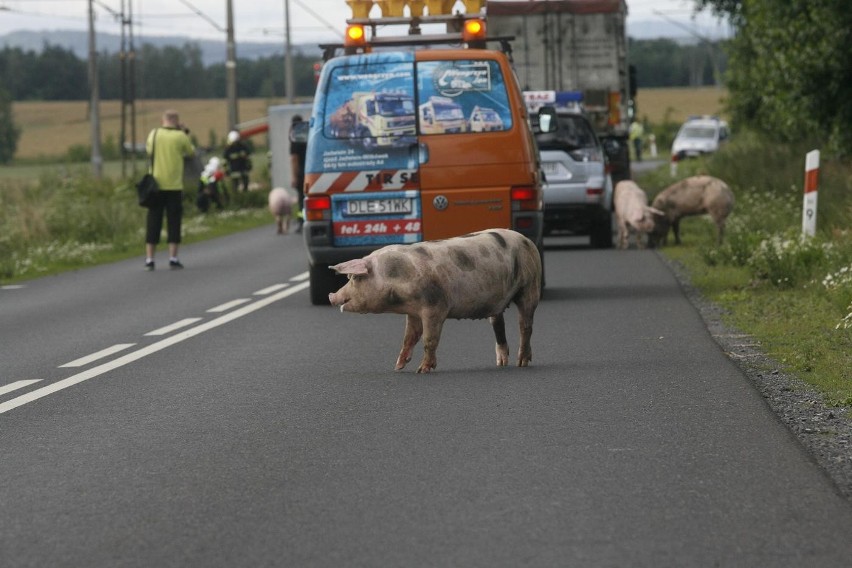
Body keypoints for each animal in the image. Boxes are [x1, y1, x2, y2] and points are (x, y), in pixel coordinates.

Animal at [326, 229, 540, 374]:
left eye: (354, 278)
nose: (331, 296)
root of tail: (527, 240)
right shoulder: (413, 312)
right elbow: (409, 337)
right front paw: (398, 366)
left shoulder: (435, 307)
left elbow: (429, 339)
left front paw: (422, 370)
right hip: (498, 300)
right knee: (498, 324)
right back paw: (501, 363)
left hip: (530, 286)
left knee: (525, 325)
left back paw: (521, 363)